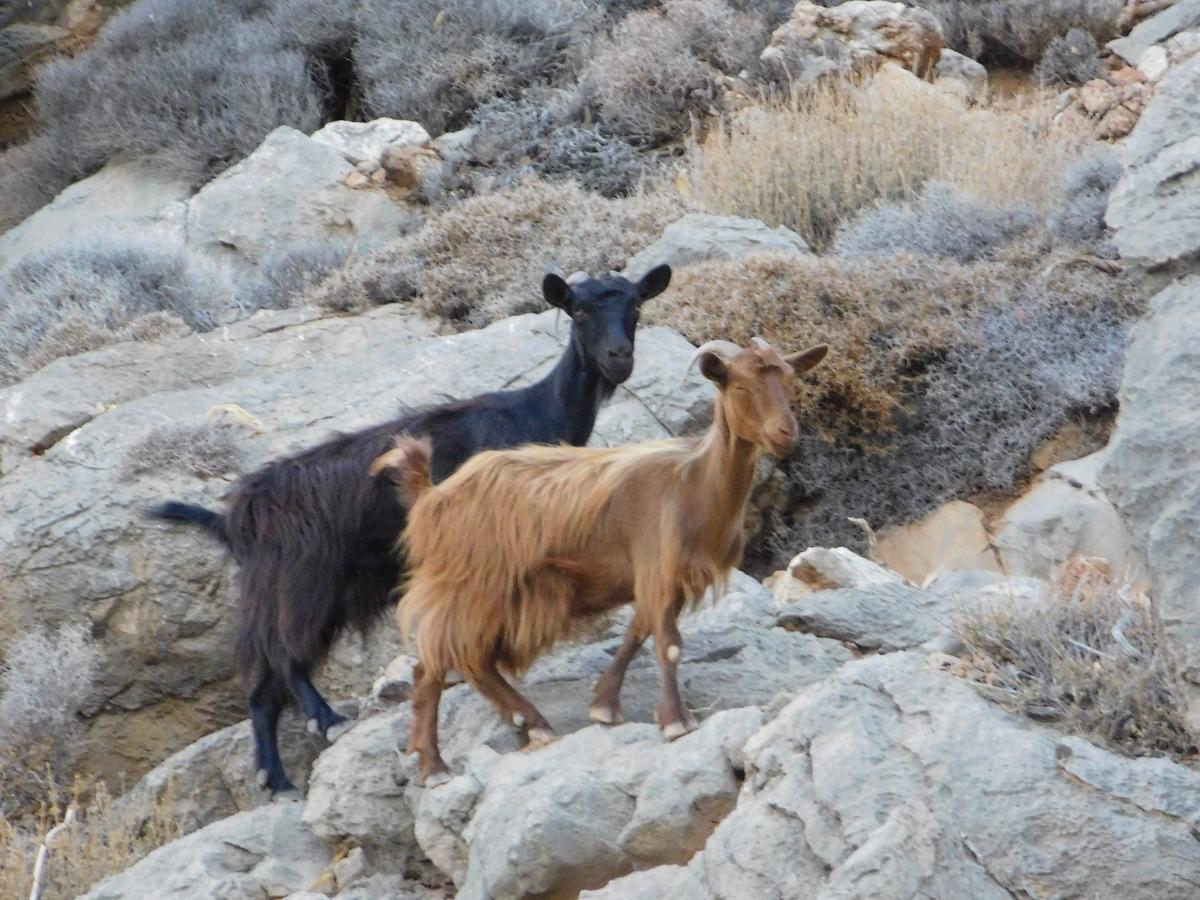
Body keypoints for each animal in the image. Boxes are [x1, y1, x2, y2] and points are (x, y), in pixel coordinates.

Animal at [150, 267, 672, 796]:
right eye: (579, 310)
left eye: (636, 305)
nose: (619, 358)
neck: (534, 414)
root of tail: (236, 516)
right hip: (300, 580)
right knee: (280, 654)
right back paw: (326, 721)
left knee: (263, 686)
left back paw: (277, 780)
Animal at [372, 338, 825, 782]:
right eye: (739, 386)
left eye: (790, 382)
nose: (786, 434)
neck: (693, 483)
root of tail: (431, 496)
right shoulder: (657, 564)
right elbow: (669, 644)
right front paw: (676, 721)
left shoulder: (661, 577)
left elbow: (638, 633)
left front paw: (605, 705)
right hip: (468, 587)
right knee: (434, 666)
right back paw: (435, 765)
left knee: (470, 663)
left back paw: (531, 723)